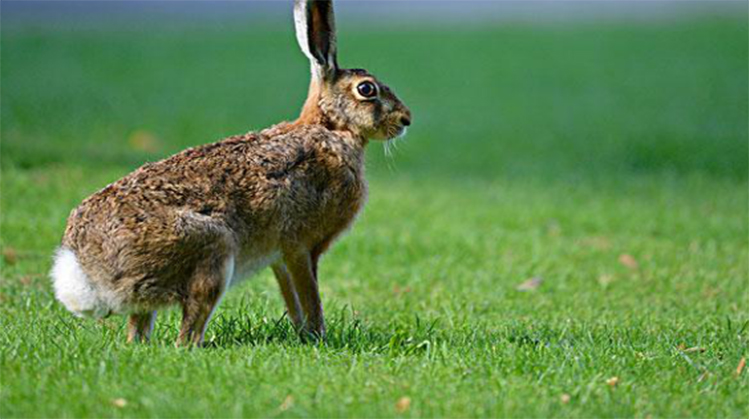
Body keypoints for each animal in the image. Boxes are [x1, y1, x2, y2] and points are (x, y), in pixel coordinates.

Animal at [48, 0, 412, 344]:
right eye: (367, 89)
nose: (405, 119)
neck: (330, 128)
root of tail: (84, 271)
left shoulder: (279, 258)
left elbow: (292, 299)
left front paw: (304, 336)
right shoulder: (299, 246)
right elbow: (310, 297)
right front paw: (319, 336)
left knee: (139, 333)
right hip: (214, 252)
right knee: (187, 336)